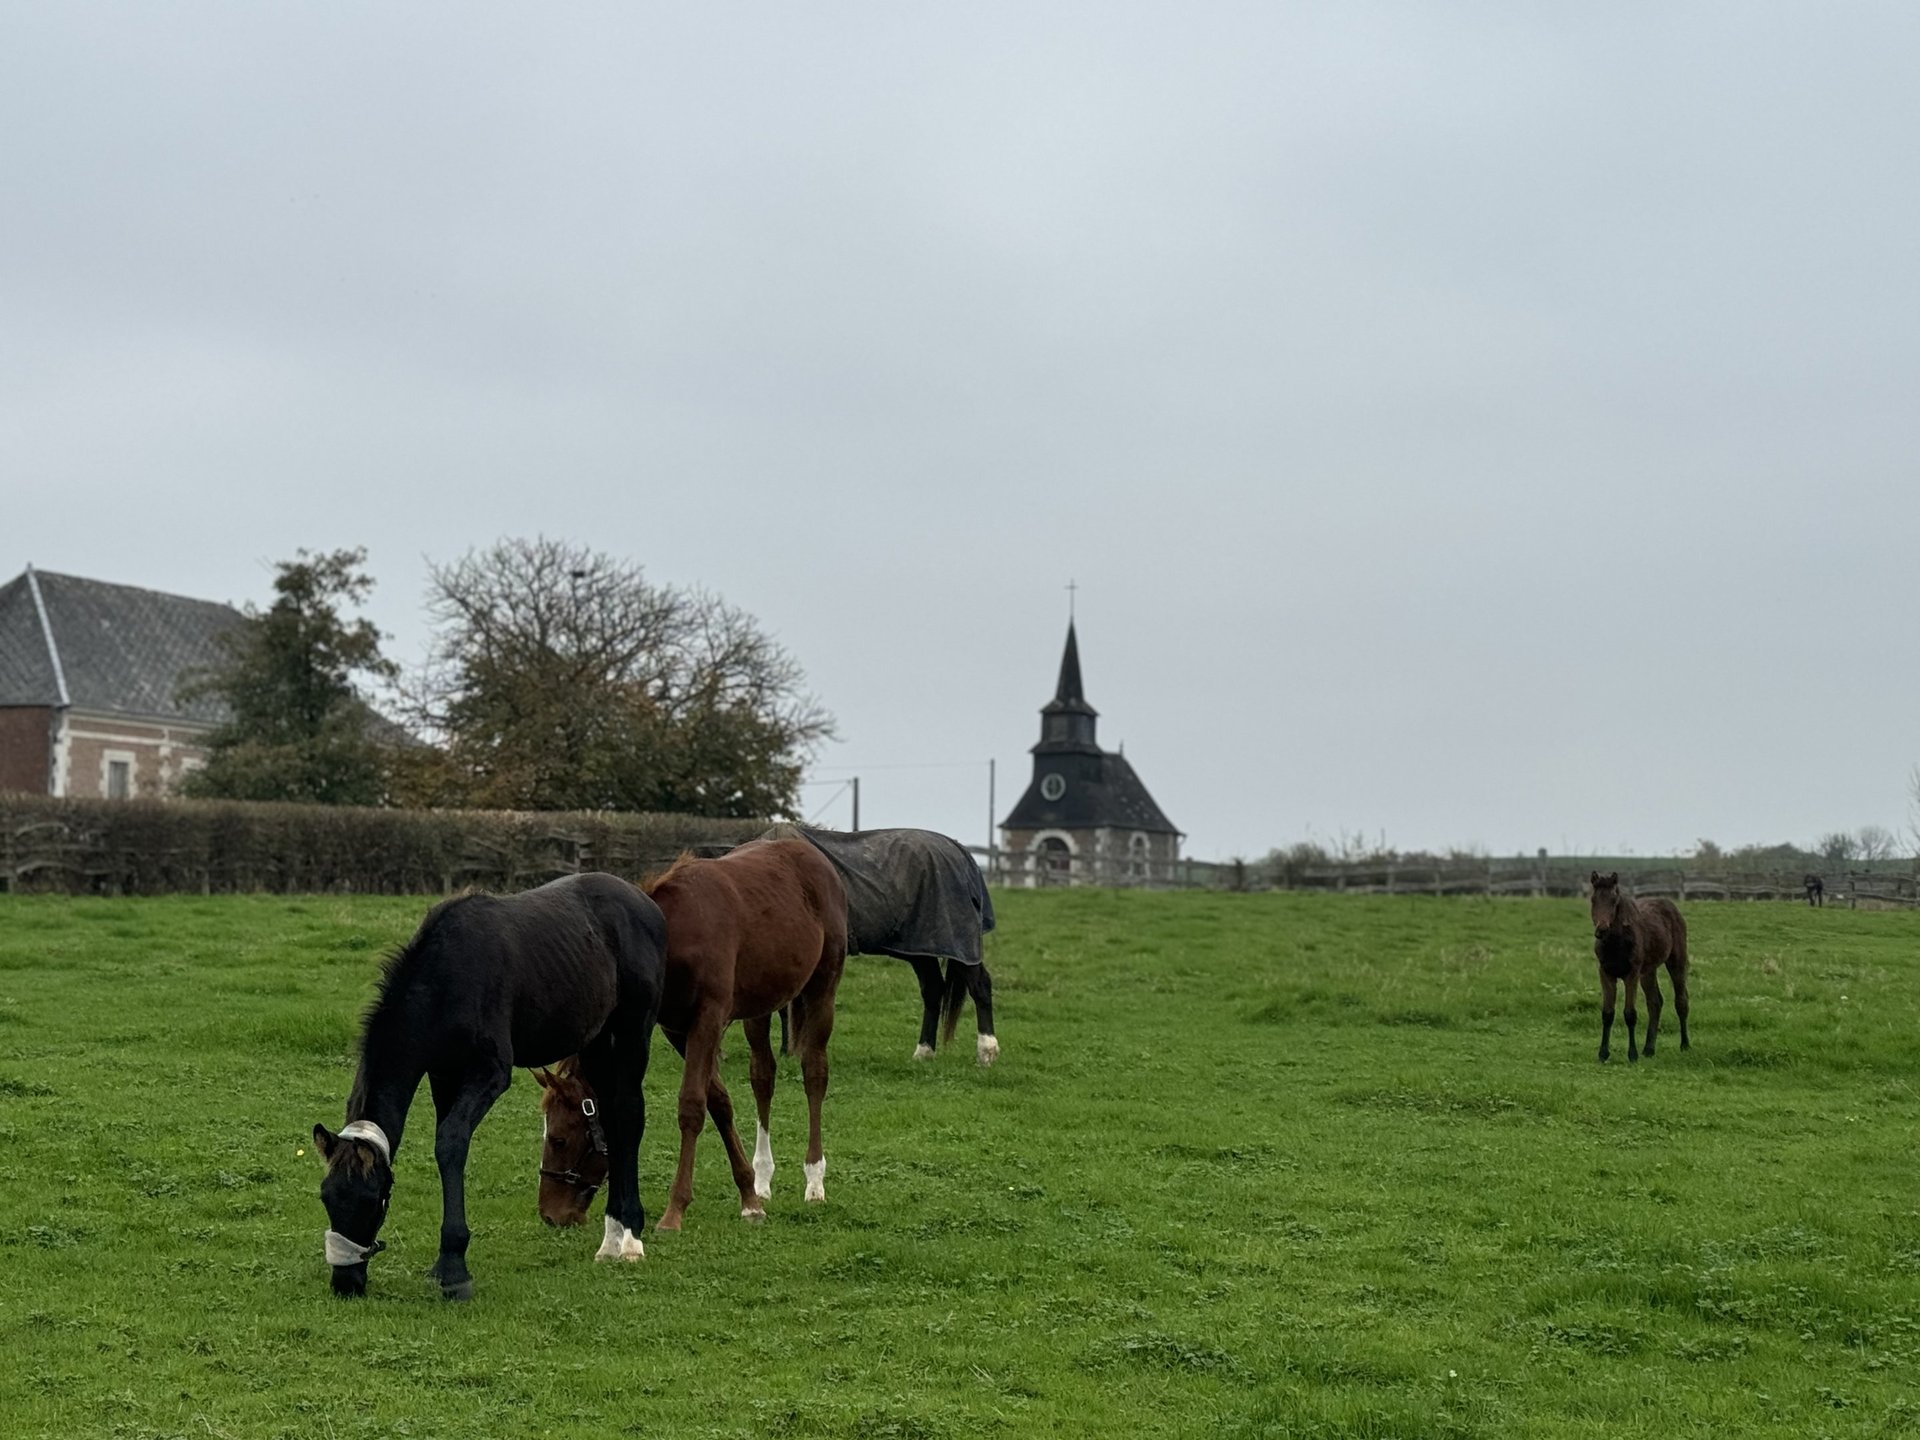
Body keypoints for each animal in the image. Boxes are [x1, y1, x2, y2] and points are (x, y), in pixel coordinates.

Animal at [314, 875, 668, 1305]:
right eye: (327, 1197)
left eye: (371, 1201)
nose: (345, 1282)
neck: (444, 980)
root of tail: (642, 900)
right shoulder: (444, 1075)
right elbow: (446, 1144)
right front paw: (443, 1266)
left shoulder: (490, 1073)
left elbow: (451, 1143)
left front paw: (454, 1269)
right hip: (597, 1040)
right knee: (612, 1121)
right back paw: (612, 1235)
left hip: (633, 1031)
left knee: (629, 1116)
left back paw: (630, 1236)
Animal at [537, 840, 844, 1236]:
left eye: (559, 1138)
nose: (550, 1213)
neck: (673, 937)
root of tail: (809, 853)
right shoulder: (677, 1029)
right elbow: (719, 1102)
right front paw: (749, 1197)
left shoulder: (707, 1019)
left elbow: (692, 1107)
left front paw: (674, 1210)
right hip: (759, 1009)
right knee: (763, 1076)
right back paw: (763, 1177)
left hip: (823, 988)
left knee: (814, 1073)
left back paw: (814, 1179)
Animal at [1589, 875, 1697, 1067]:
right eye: (1593, 899)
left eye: (1614, 900)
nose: (1602, 929)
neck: (1616, 944)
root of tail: (1672, 906)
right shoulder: (1606, 973)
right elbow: (1607, 1013)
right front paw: (1603, 1054)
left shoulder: (1632, 973)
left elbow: (1630, 1014)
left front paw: (1632, 1055)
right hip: (1648, 970)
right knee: (1655, 1002)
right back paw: (1648, 1049)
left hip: (1676, 961)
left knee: (1681, 1000)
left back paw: (1684, 1044)